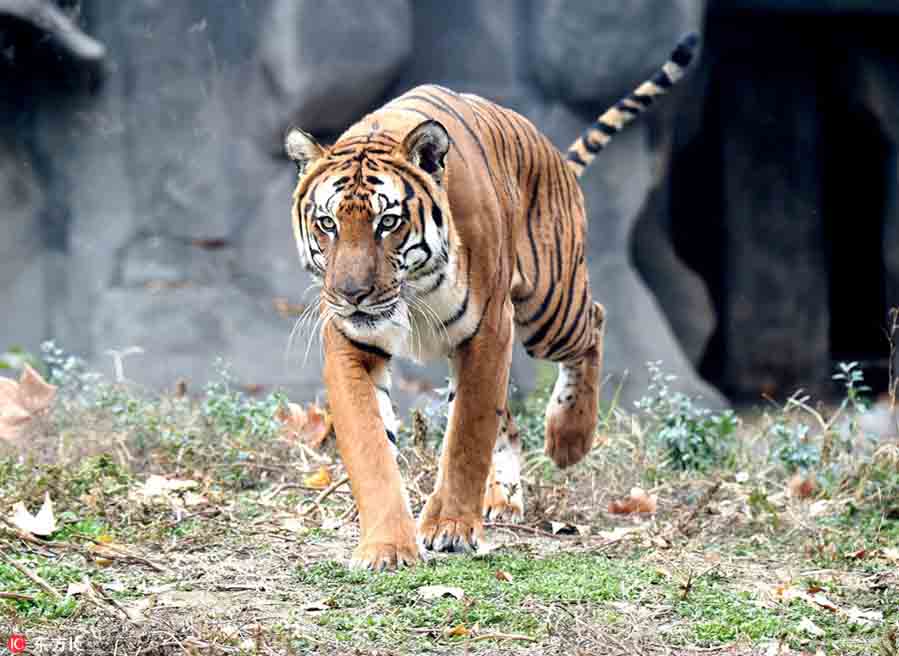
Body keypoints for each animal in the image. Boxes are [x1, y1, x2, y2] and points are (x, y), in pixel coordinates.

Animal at [285, 34, 699, 570]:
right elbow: (370, 444)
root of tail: (551, 152)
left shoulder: (487, 330)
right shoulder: (352, 341)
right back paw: (503, 499)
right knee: (512, 424)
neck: (410, 294)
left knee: (595, 321)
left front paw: (451, 528)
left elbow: (467, 436)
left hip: (550, 307)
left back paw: (568, 438)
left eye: (387, 222)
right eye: (328, 223)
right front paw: (387, 547)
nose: (352, 294)